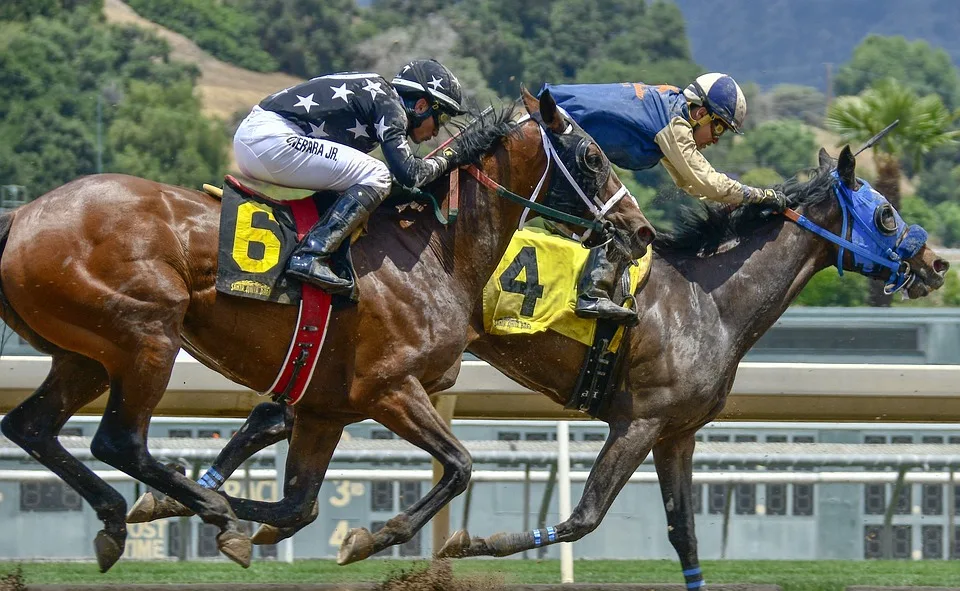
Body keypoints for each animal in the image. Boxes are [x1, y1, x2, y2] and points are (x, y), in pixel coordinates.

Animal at [0, 89, 652, 572]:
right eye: (592, 157)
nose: (640, 228)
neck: (431, 251)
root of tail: (25, 214)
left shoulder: (326, 408)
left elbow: (299, 507)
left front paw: (221, 516)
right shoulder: (388, 387)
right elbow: (460, 465)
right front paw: (369, 538)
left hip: (87, 354)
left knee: (31, 426)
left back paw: (124, 515)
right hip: (147, 337)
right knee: (118, 441)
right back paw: (201, 510)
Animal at [127, 146, 944, 588]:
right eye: (886, 215)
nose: (936, 262)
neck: (709, 300)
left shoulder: (677, 434)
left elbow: (685, 536)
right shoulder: (638, 420)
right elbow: (582, 519)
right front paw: (469, 545)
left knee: (279, 411)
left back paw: (177, 500)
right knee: (283, 412)